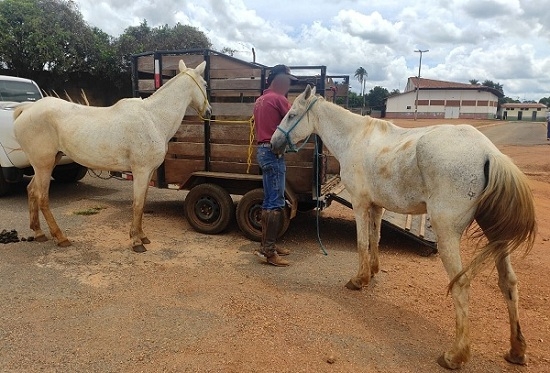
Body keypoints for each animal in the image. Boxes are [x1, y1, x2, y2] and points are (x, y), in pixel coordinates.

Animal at [14, 60, 213, 253]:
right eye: (204, 84)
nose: (209, 111)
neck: (153, 118)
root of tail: (27, 109)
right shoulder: (141, 171)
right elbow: (137, 205)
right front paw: (136, 242)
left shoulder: (148, 172)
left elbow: (142, 204)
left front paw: (142, 236)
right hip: (44, 165)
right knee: (42, 197)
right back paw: (61, 238)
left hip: (47, 163)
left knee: (32, 190)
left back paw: (39, 232)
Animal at [272, 85, 540, 370]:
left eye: (291, 115)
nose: (273, 144)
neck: (355, 138)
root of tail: (489, 153)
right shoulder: (376, 206)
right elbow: (375, 238)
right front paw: (372, 272)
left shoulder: (359, 204)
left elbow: (362, 242)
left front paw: (358, 280)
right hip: (496, 236)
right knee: (508, 282)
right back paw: (516, 350)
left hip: (448, 235)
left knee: (461, 283)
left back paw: (455, 355)